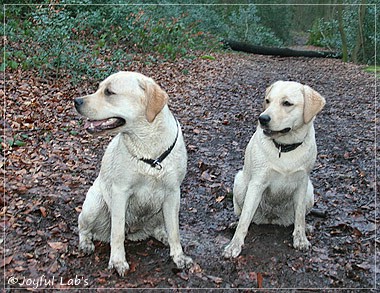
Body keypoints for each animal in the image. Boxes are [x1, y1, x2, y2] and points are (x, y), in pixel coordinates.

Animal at [74, 71, 193, 276]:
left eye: (109, 92)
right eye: (99, 88)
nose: (76, 101)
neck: (148, 147)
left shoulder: (173, 193)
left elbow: (175, 230)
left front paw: (178, 256)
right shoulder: (120, 192)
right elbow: (117, 232)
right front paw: (118, 261)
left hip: (159, 210)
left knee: (160, 228)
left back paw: (162, 235)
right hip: (94, 204)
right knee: (83, 228)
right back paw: (86, 244)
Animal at [224, 81, 326, 256]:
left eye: (287, 103)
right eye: (267, 101)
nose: (262, 118)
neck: (283, 148)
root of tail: (271, 219)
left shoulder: (302, 183)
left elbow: (300, 216)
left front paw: (301, 239)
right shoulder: (257, 183)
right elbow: (244, 219)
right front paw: (234, 245)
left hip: (310, 191)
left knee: (296, 218)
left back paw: (307, 227)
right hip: (239, 184)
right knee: (244, 215)